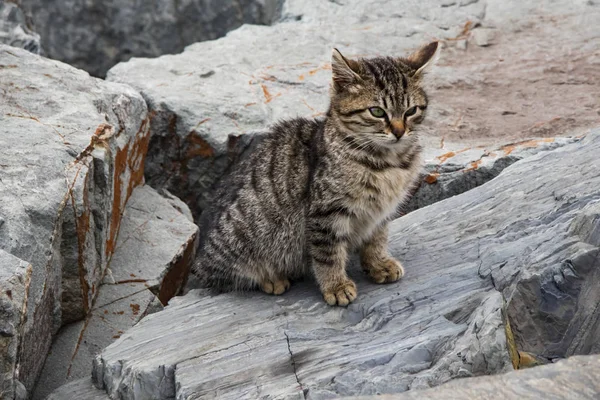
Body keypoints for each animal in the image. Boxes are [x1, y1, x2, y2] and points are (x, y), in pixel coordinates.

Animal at [189, 41, 440, 306]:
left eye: (411, 111)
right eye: (377, 112)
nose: (400, 132)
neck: (389, 162)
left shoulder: (381, 212)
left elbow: (376, 239)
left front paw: (378, 263)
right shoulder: (326, 212)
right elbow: (327, 254)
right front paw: (336, 286)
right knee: (224, 275)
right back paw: (270, 278)